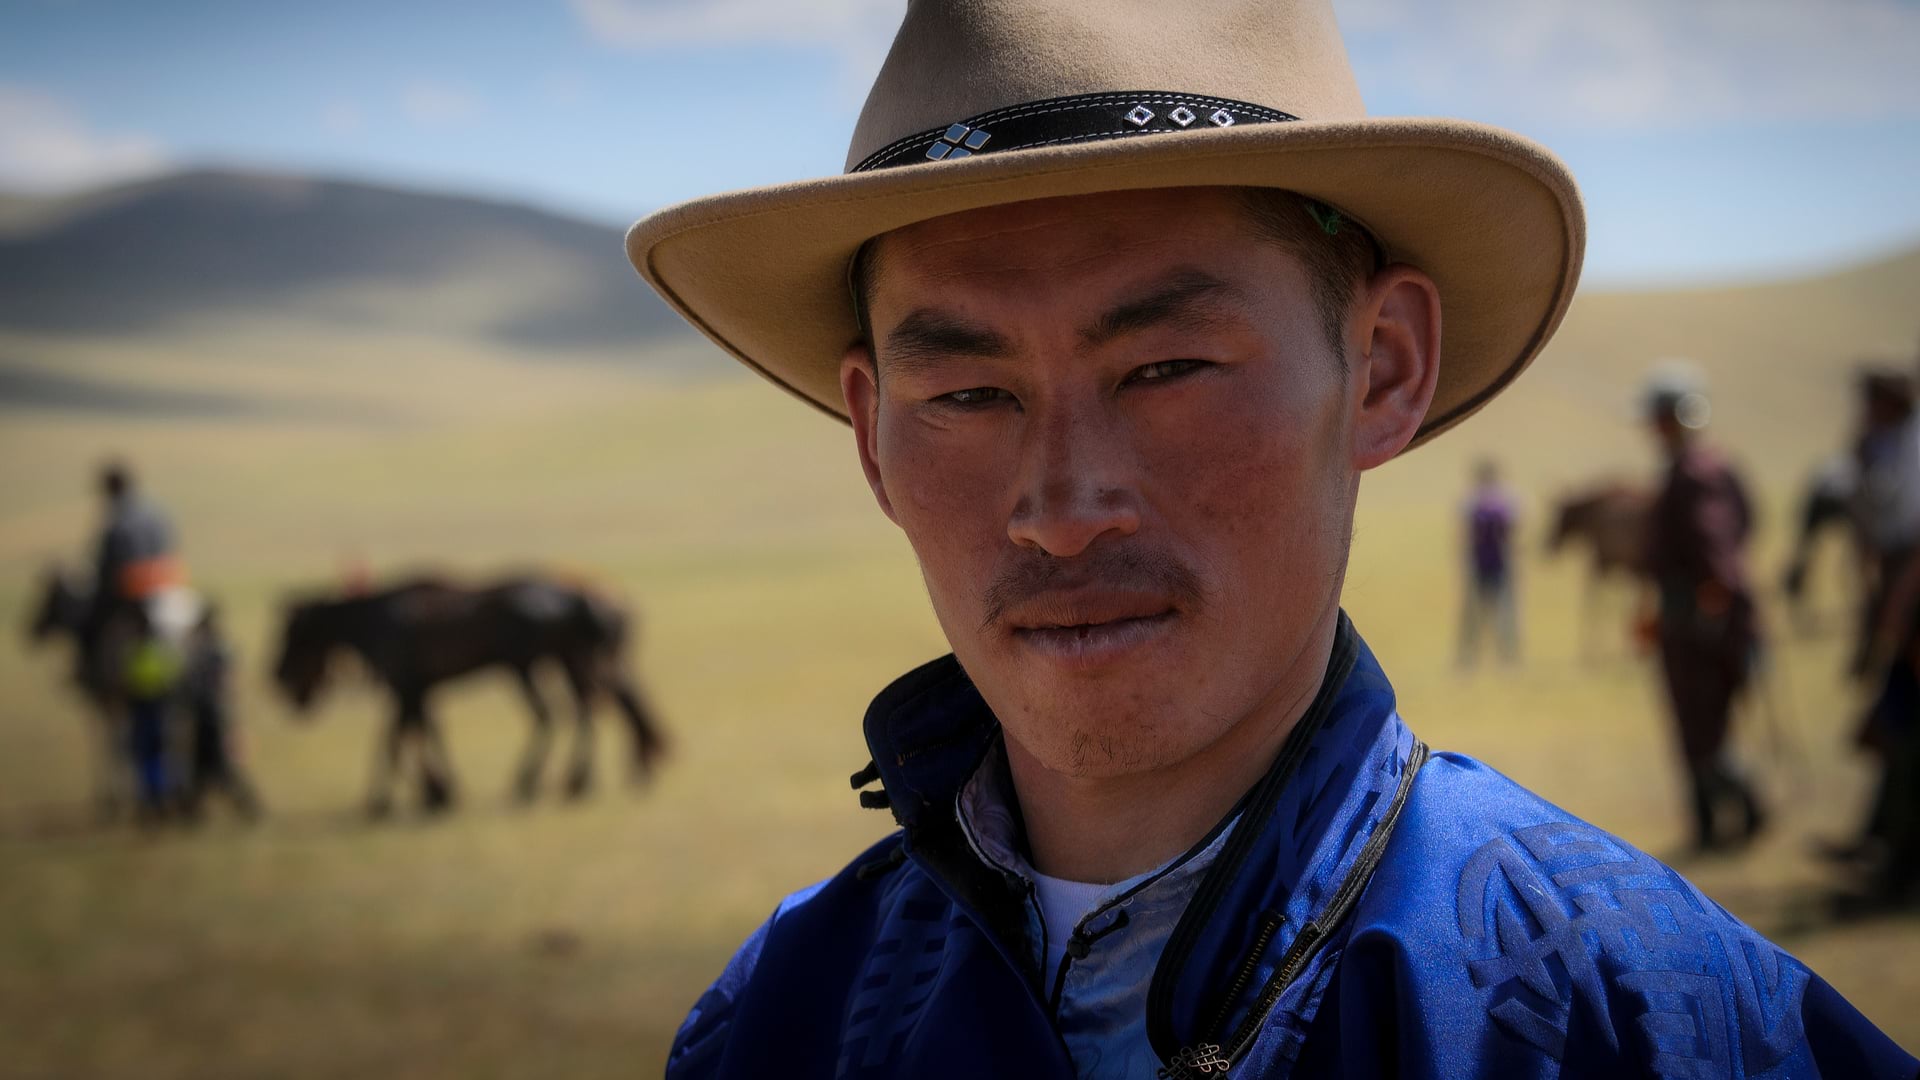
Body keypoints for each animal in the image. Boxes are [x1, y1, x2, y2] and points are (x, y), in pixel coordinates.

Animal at [274, 572, 668, 807]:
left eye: (292, 636)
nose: (277, 679)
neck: (375, 620)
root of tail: (585, 598)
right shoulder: (418, 690)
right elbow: (417, 731)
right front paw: (435, 791)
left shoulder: (405, 686)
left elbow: (395, 736)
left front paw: (393, 799)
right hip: (565, 662)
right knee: (590, 706)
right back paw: (582, 779)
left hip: (525, 667)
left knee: (558, 713)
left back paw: (539, 781)